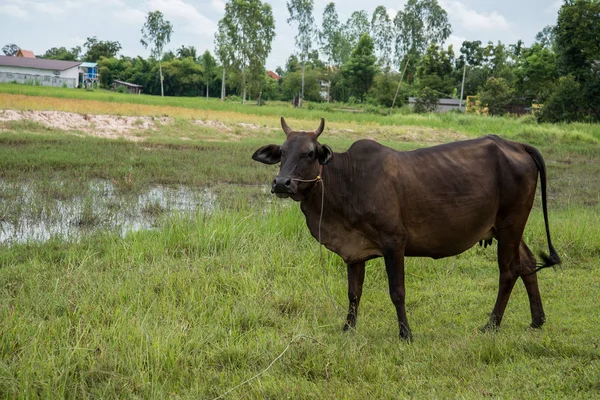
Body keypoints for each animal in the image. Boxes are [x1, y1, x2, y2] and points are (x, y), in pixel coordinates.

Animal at [251, 117, 560, 340]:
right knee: (527, 264)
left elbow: (397, 291)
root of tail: (517, 144)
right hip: (507, 228)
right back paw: (537, 320)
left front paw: (405, 333)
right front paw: (348, 329)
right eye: (282, 153)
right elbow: (354, 293)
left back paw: (492, 324)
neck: (348, 180)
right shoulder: (355, 250)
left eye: (309, 153)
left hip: (510, 224)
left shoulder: (394, 242)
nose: (281, 183)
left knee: (508, 271)